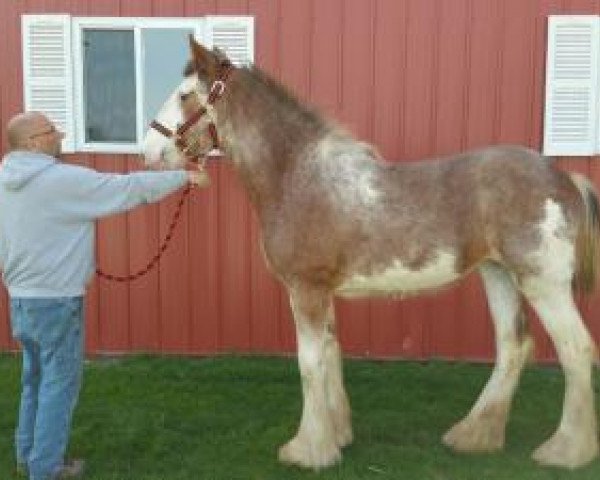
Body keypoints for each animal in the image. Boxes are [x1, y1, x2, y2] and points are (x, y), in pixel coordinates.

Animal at [142, 36, 600, 468]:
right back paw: (473, 435)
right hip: (498, 275)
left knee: (575, 350)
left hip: (544, 284)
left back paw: (566, 451)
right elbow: (330, 353)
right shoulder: (320, 292)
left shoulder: (305, 289)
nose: (148, 149)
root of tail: (564, 178)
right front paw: (337, 435)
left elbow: (310, 363)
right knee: (512, 346)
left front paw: (307, 450)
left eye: (185, 95)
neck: (297, 176)